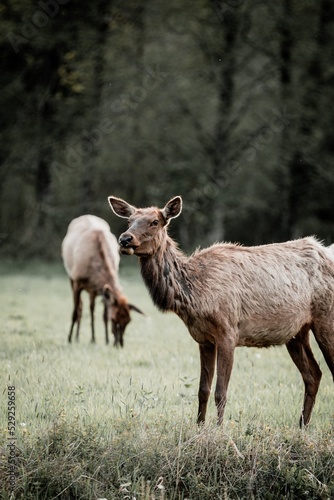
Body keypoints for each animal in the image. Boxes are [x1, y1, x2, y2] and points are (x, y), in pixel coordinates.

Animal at [61, 215, 144, 348]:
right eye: (114, 319)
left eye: (128, 321)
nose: (120, 343)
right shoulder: (77, 282)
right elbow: (75, 312)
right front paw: (69, 339)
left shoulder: (102, 290)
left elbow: (104, 315)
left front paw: (106, 340)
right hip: (71, 277)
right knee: (81, 308)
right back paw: (77, 337)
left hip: (92, 290)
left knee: (90, 308)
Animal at [109, 195, 334, 426]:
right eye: (129, 220)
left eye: (155, 221)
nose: (125, 239)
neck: (195, 296)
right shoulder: (204, 339)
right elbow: (203, 390)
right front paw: (199, 426)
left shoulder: (228, 333)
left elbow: (221, 391)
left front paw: (218, 428)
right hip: (297, 332)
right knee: (313, 374)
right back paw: (302, 426)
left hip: (326, 318)